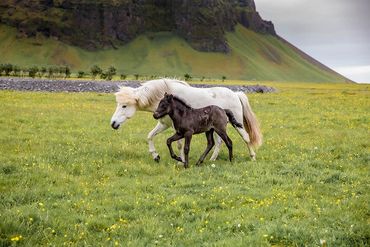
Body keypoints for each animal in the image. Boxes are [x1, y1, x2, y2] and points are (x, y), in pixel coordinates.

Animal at [110, 78, 264, 162]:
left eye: (124, 106)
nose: (113, 123)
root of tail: (236, 94)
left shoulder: (177, 128)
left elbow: (178, 144)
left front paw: (181, 160)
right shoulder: (164, 124)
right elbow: (150, 136)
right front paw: (156, 156)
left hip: (237, 123)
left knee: (246, 138)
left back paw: (252, 157)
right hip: (216, 128)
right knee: (219, 142)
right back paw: (211, 159)